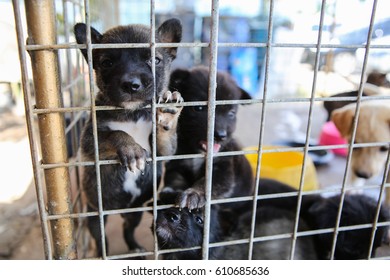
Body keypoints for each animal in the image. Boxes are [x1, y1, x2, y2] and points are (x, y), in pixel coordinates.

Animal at [74, 18, 184, 258]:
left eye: (155, 60)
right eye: (106, 63)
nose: (131, 84)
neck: (132, 113)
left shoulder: (163, 152)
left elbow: (165, 140)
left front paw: (168, 113)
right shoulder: (89, 141)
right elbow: (115, 133)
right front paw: (131, 149)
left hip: (135, 214)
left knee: (127, 229)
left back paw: (135, 247)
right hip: (95, 216)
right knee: (101, 239)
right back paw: (102, 255)